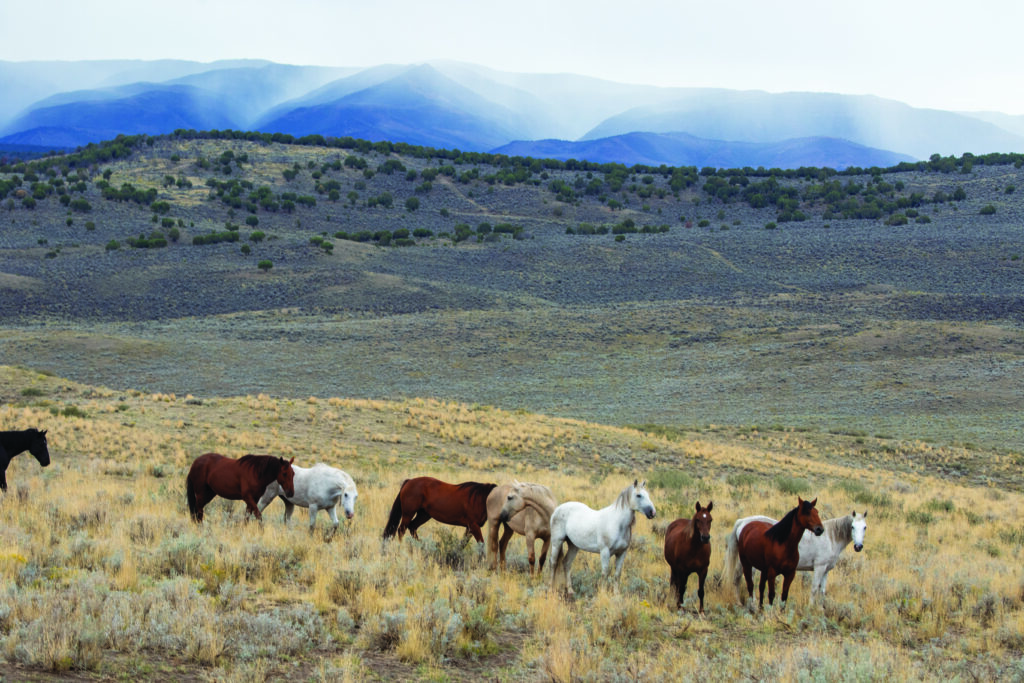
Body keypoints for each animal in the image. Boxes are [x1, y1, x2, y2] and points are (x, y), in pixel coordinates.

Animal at [734, 510, 867, 604]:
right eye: (852, 527)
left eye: (865, 527)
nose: (858, 546)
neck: (830, 538)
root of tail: (743, 522)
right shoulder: (819, 568)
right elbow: (814, 589)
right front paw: (810, 608)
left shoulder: (826, 570)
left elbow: (822, 591)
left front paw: (821, 609)